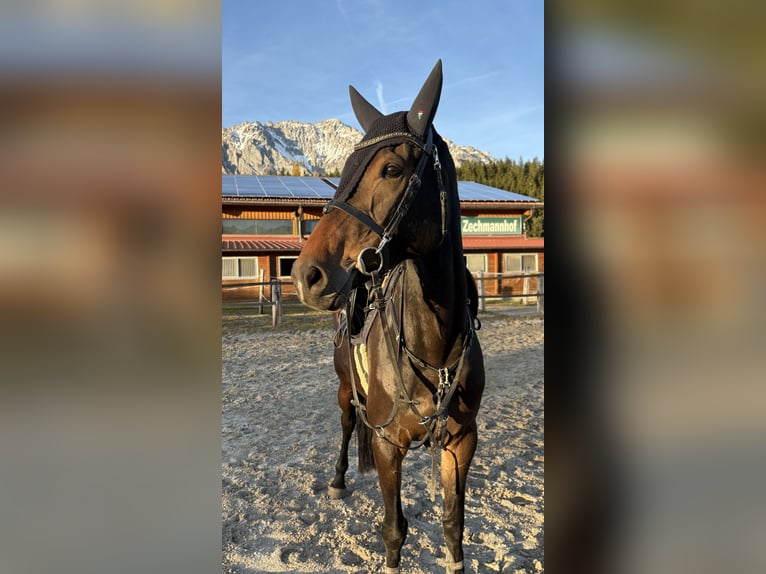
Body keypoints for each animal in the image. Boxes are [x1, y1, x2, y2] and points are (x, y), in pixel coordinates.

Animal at [291, 60, 485, 574]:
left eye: (392, 169)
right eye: (343, 171)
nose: (306, 275)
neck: (434, 340)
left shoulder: (462, 442)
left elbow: (453, 527)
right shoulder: (385, 442)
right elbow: (393, 530)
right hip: (345, 391)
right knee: (345, 426)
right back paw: (338, 480)